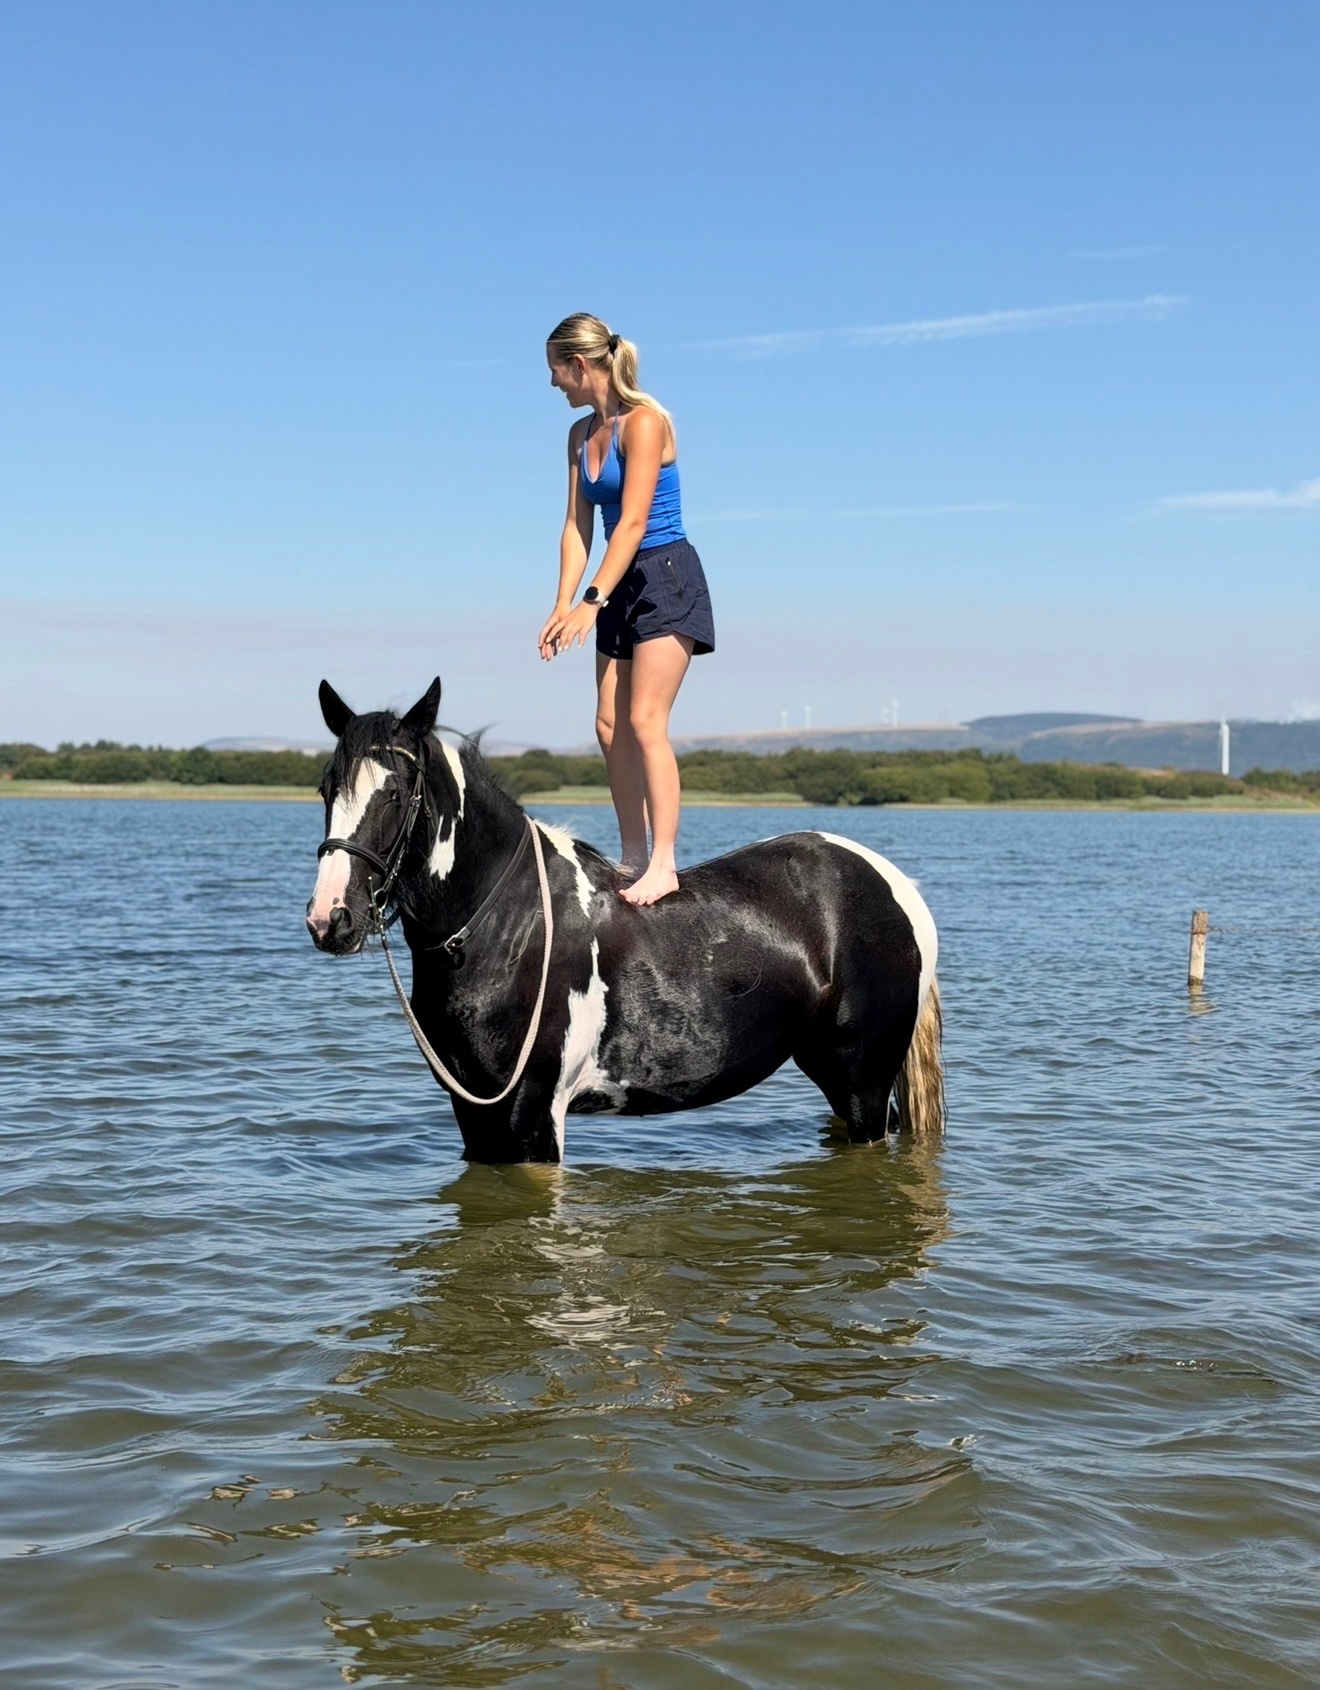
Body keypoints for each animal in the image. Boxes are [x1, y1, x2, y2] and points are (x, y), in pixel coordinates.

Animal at [306, 677, 944, 1164]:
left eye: (395, 793)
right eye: (326, 788)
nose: (330, 918)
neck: (505, 928)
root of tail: (894, 885)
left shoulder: (531, 1113)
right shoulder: (474, 1113)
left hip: (861, 1081)